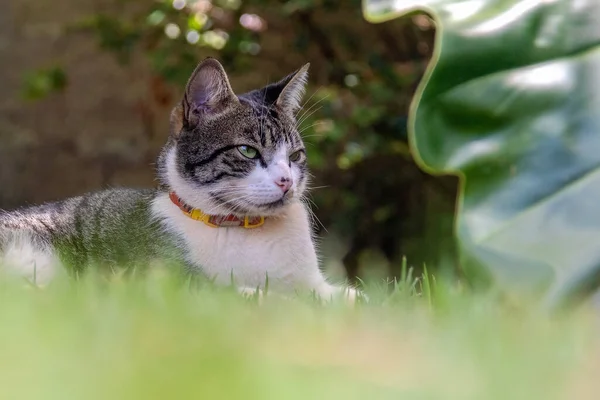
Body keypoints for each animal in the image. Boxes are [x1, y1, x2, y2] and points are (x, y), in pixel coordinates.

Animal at [0, 56, 358, 300]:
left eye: (295, 156)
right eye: (247, 151)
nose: (287, 181)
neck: (243, 228)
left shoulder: (313, 282)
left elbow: (342, 297)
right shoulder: (169, 280)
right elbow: (242, 295)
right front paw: (278, 301)